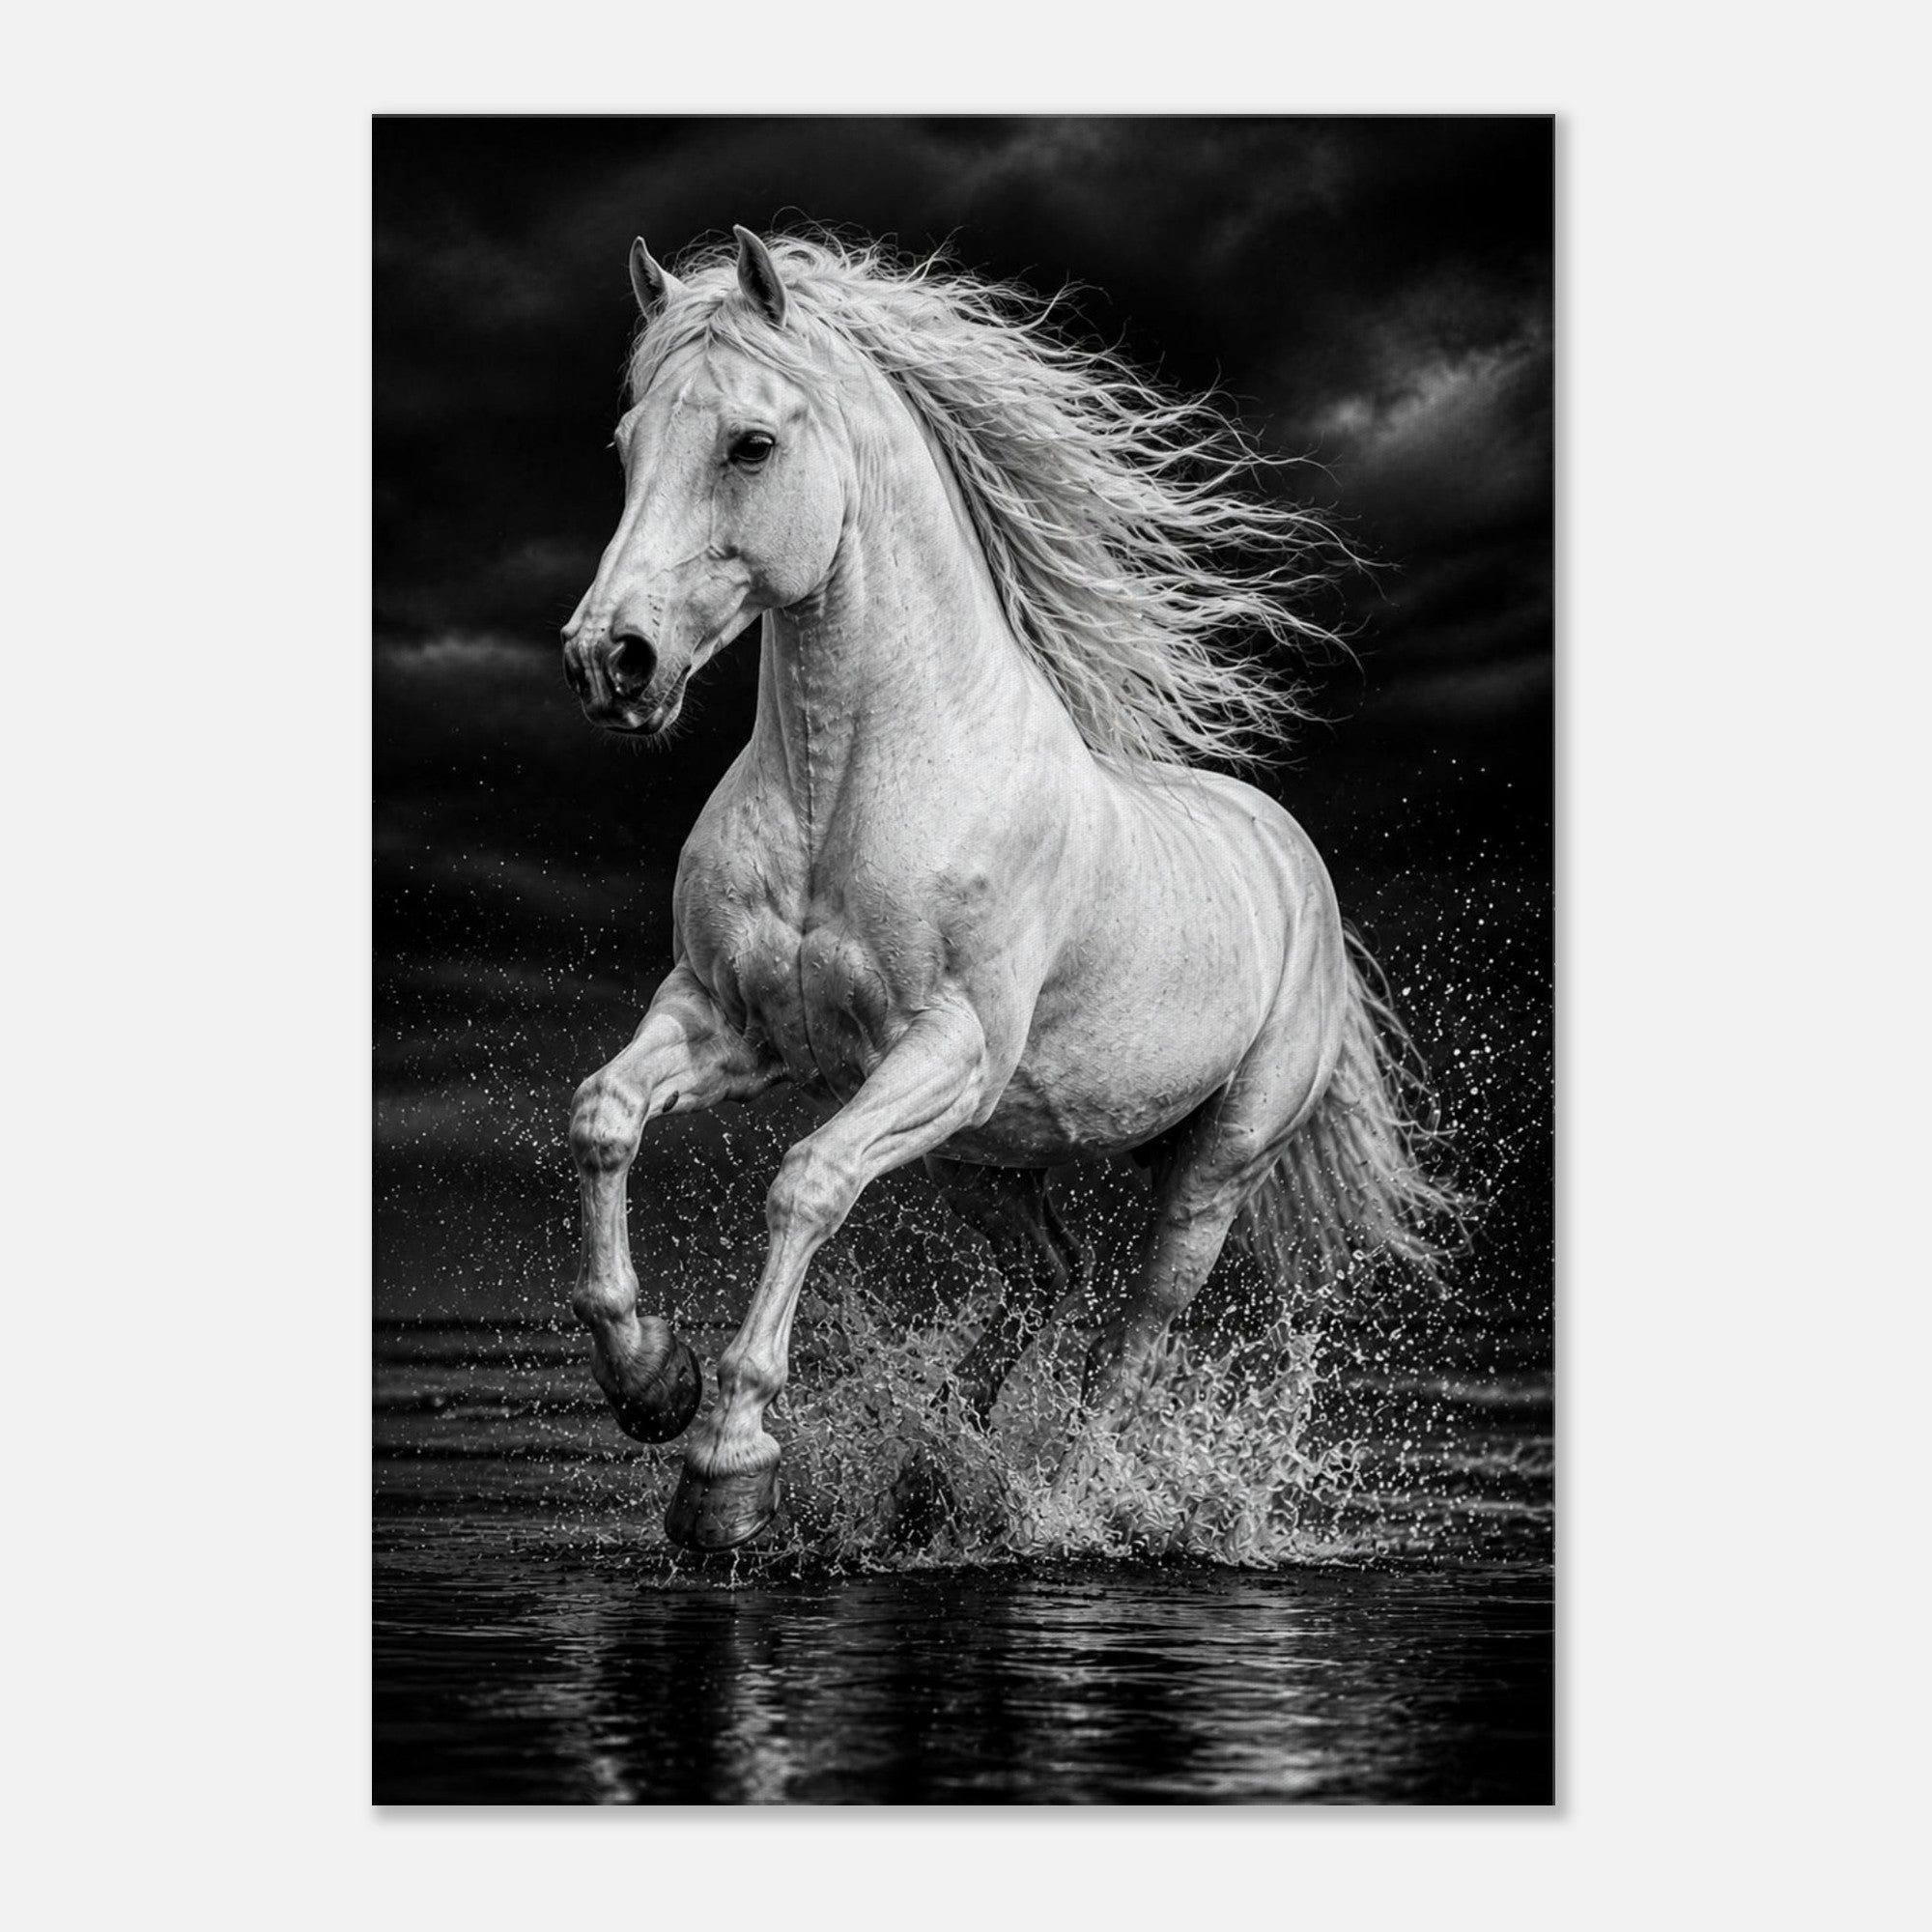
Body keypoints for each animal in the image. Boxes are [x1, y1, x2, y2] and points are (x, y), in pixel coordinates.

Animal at [559, 227, 1464, 1551]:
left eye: (750, 443)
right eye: (626, 447)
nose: (609, 660)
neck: (846, 787)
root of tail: (1286, 850)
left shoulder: (945, 1048)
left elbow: (804, 1185)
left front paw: (726, 1466)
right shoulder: (730, 1020)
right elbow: (604, 1116)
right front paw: (648, 1383)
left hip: (1207, 1166)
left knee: (1134, 1338)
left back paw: (1064, 1496)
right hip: (981, 1154)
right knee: (1047, 1278)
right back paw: (944, 1477)